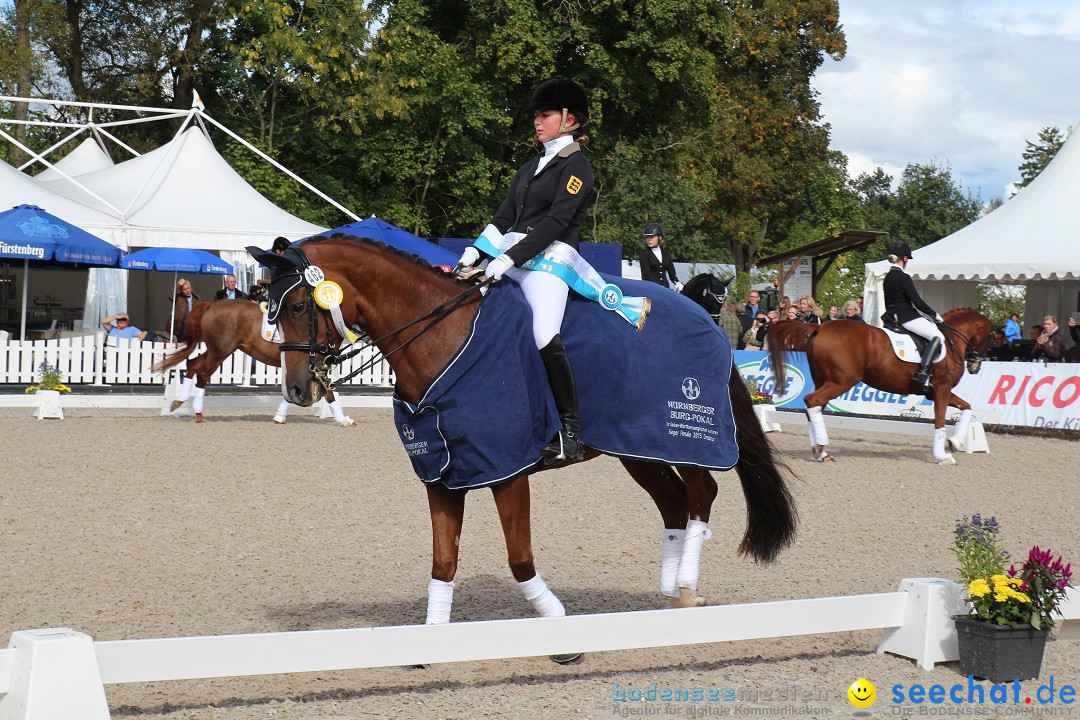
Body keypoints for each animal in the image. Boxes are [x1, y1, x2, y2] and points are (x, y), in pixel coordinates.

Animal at [155, 302, 354, 425]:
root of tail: (211, 304)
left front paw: (280, 415)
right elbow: (328, 391)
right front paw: (343, 420)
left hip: (216, 350)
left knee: (193, 365)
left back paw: (179, 402)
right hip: (220, 351)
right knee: (202, 373)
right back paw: (197, 413)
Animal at [250, 236, 794, 643]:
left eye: (296, 305)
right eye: (269, 308)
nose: (295, 389)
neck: (442, 334)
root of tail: (706, 320)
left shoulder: (506, 469)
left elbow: (519, 558)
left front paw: (556, 626)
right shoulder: (443, 474)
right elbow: (444, 562)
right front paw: (433, 638)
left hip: (685, 435)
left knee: (702, 492)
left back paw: (685, 587)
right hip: (638, 448)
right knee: (675, 503)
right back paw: (667, 593)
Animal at [764, 306, 989, 464]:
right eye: (990, 336)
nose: (975, 365)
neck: (950, 342)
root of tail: (820, 327)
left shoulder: (935, 392)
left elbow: (967, 407)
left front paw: (956, 442)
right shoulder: (942, 388)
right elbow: (940, 422)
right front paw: (943, 456)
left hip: (824, 379)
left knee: (813, 407)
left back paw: (822, 452)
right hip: (842, 381)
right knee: (812, 401)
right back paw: (820, 448)